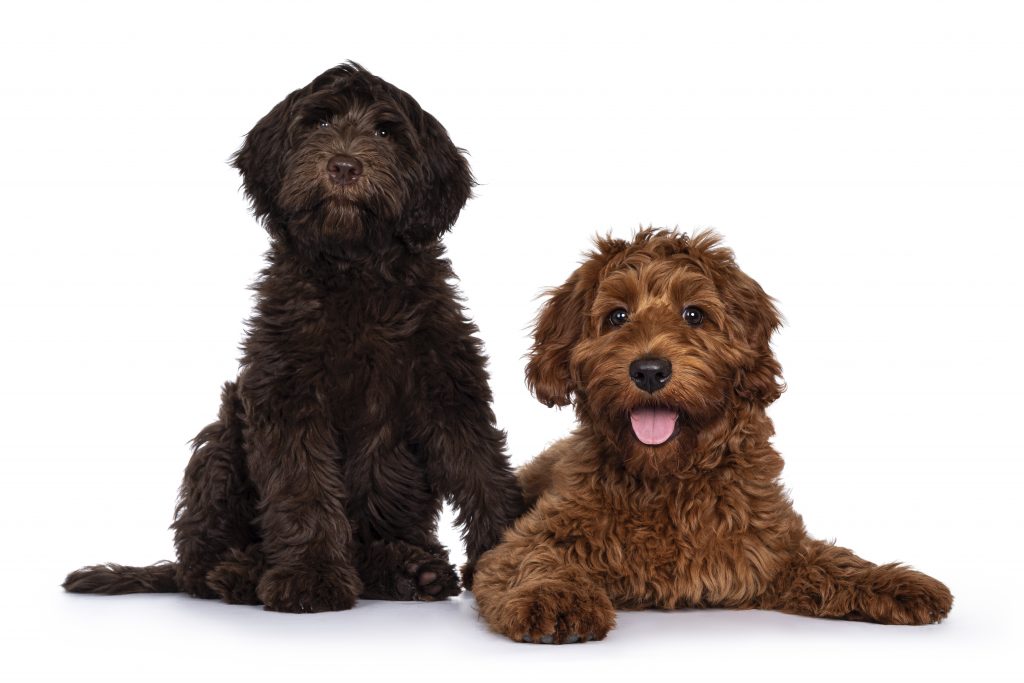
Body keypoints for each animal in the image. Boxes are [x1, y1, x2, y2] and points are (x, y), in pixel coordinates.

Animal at [62, 63, 524, 614]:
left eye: (385, 132)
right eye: (318, 123)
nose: (344, 167)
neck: (354, 270)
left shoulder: (448, 385)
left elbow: (482, 471)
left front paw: (514, 559)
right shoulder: (286, 393)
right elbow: (301, 487)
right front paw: (310, 576)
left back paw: (410, 570)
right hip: (221, 443)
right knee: (198, 564)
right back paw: (242, 573)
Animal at [471, 232, 950, 643]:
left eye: (694, 314)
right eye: (617, 316)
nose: (649, 370)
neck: (666, 477)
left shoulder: (772, 548)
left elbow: (834, 562)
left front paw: (892, 581)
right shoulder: (533, 537)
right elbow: (530, 561)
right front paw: (552, 597)